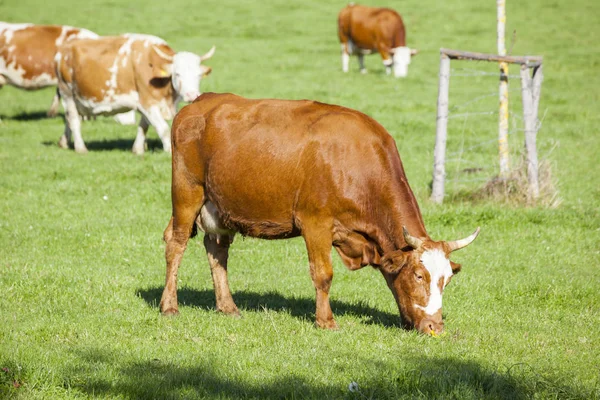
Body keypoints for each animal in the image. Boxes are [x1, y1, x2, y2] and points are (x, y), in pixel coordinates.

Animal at [55, 34, 216, 154]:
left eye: (199, 75)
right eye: (177, 74)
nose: (191, 94)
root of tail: (63, 50)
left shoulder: (145, 103)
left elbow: (143, 126)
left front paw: (138, 149)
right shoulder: (148, 102)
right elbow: (163, 128)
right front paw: (170, 150)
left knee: (69, 119)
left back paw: (64, 142)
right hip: (67, 93)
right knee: (74, 120)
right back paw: (80, 148)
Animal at [159, 91, 478, 334]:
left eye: (447, 279)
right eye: (418, 275)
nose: (435, 327)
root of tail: (203, 101)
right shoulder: (315, 224)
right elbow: (323, 274)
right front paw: (326, 321)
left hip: (220, 207)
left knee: (217, 250)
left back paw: (228, 307)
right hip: (187, 192)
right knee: (176, 244)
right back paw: (170, 306)